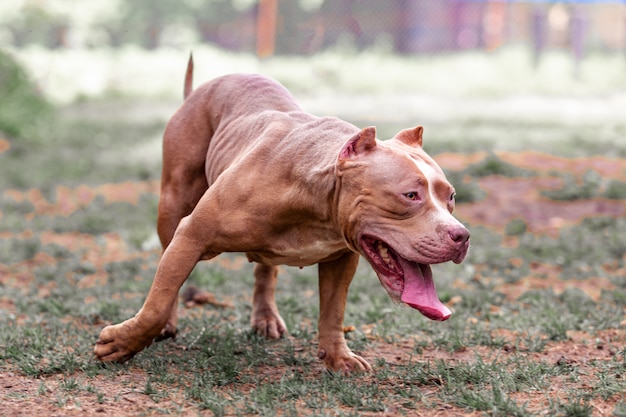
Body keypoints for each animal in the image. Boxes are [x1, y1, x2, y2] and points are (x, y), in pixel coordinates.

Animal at [94, 56, 468, 370]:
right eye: (410, 195)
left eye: (450, 197)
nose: (462, 236)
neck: (320, 200)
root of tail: (200, 90)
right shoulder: (192, 234)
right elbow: (157, 302)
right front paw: (122, 343)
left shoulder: (341, 258)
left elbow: (333, 310)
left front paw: (338, 357)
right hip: (172, 204)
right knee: (167, 265)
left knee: (265, 271)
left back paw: (266, 317)